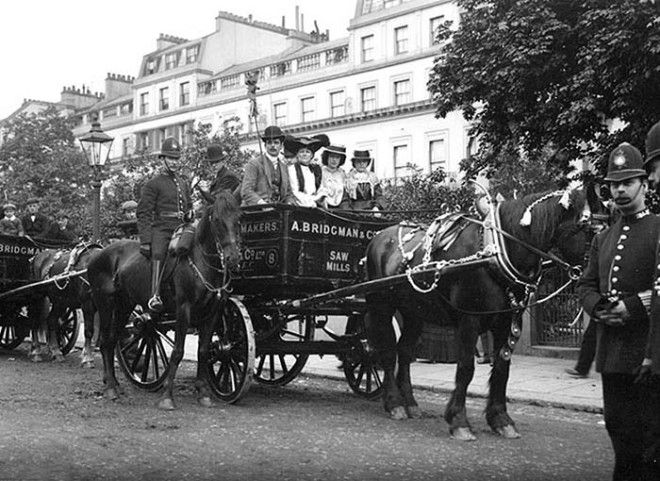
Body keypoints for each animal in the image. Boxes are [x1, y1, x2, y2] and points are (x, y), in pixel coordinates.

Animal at [87, 191, 241, 408]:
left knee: (111, 341)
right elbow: (177, 351)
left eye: (239, 218)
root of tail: (98, 253)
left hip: (124, 305)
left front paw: (203, 392)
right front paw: (167, 396)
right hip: (106, 304)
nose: (233, 258)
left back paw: (114, 384)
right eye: (217, 220)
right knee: (105, 341)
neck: (202, 261)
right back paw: (110, 388)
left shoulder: (213, 312)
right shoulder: (183, 309)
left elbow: (203, 350)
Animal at [364, 188, 592, 438]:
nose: (592, 275)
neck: (493, 253)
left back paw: (411, 404)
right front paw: (459, 421)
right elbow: (466, 368)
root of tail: (379, 236)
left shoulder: (507, 321)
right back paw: (394, 403)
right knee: (387, 351)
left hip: (414, 311)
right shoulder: (469, 320)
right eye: (586, 227)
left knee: (404, 352)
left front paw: (501, 419)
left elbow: (502, 369)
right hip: (382, 306)